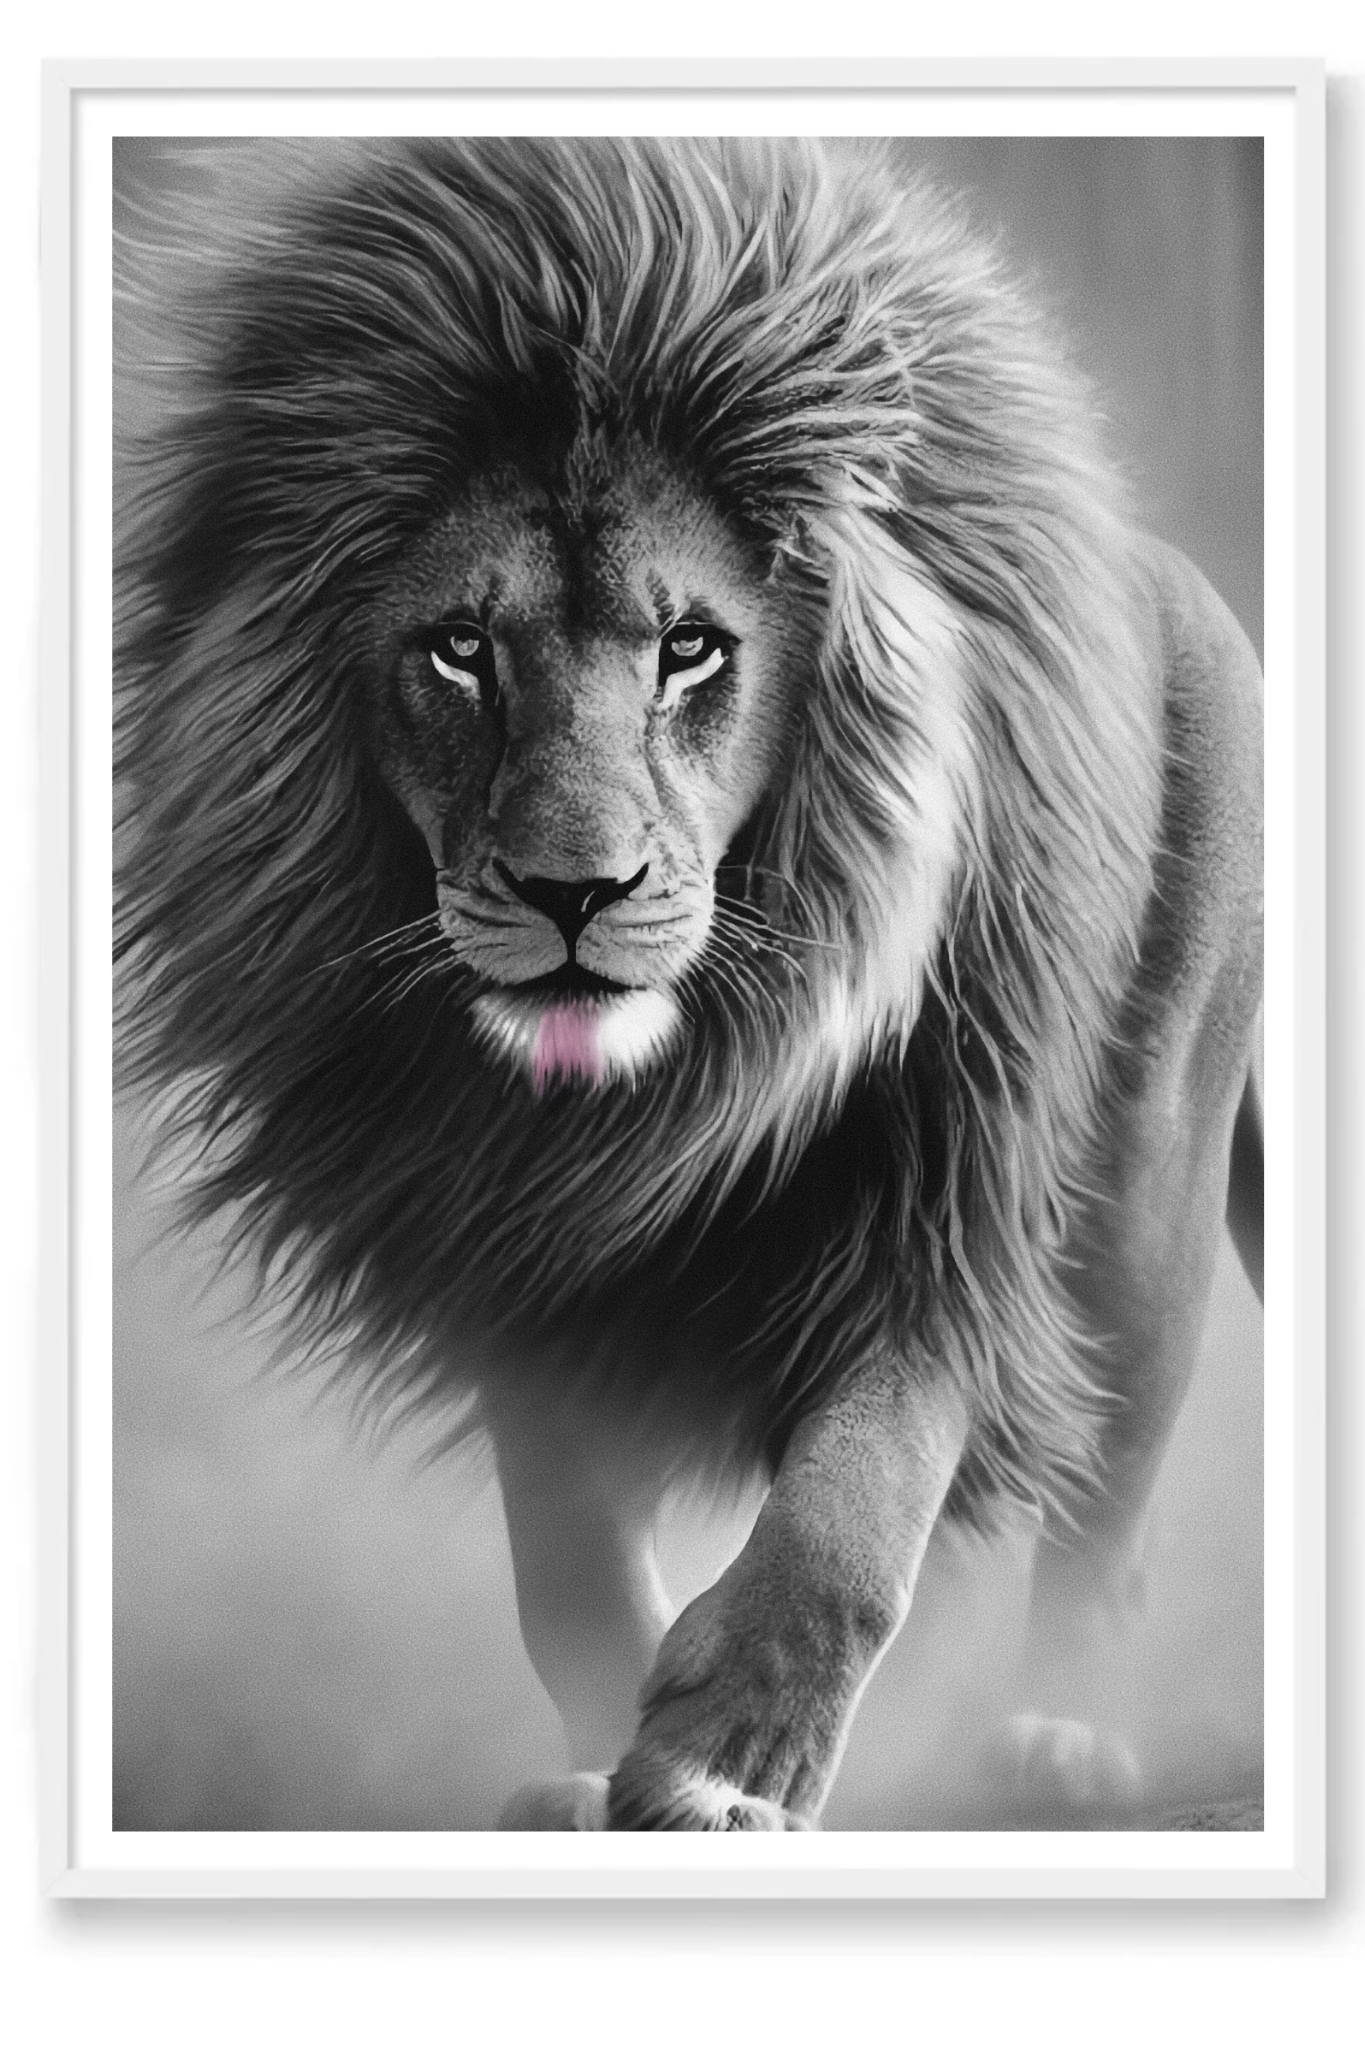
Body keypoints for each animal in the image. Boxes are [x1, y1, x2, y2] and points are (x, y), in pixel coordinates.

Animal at [115, 136, 1263, 1831]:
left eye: (691, 650)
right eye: (462, 649)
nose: (571, 893)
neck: (662, 1098)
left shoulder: (943, 1195)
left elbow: (855, 1509)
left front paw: (729, 1766)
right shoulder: (510, 1259)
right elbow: (569, 1573)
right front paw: (607, 1764)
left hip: (1147, 1207)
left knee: (1104, 1505)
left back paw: (1057, 1738)